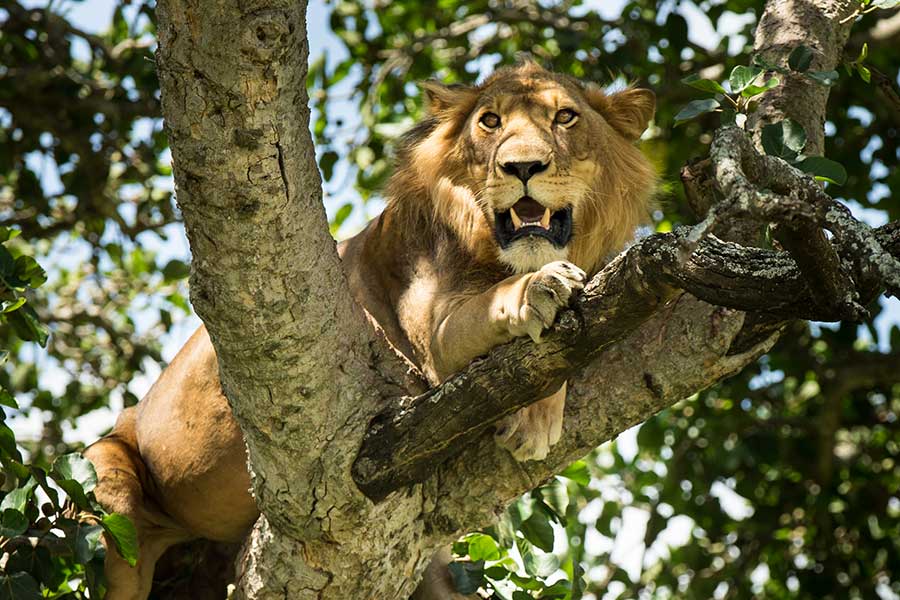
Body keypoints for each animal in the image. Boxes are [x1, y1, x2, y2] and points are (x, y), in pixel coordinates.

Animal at [84, 63, 656, 596]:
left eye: (566, 117)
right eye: (490, 121)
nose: (522, 167)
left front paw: (534, 416)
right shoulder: (435, 336)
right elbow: (499, 306)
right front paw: (542, 291)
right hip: (107, 491)